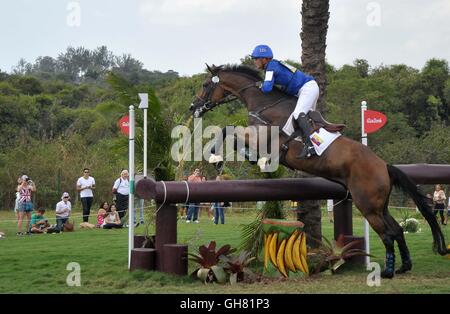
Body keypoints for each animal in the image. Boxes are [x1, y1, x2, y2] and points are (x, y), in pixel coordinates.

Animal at [188, 63, 448, 278]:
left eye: (205, 85)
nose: (193, 107)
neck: (263, 102)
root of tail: (384, 166)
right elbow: (232, 135)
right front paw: (248, 159)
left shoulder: (263, 138)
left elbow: (228, 131)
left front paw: (217, 157)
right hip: (378, 206)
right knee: (397, 230)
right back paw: (404, 266)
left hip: (367, 205)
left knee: (387, 234)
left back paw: (388, 272)